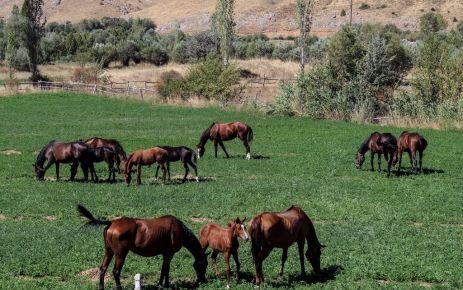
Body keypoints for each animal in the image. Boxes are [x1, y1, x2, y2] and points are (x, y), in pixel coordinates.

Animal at [78, 205, 208, 288]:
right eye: (205, 264)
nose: (203, 280)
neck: (179, 229)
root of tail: (111, 222)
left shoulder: (165, 254)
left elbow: (163, 269)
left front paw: (161, 284)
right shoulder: (169, 254)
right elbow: (166, 269)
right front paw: (165, 285)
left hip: (109, 251)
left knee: (103, 268)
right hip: (120, 254)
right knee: (116, 271)